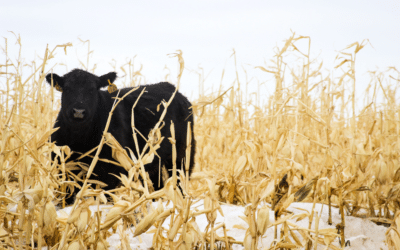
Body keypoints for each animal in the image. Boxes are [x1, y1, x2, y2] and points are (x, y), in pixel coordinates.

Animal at [47, 68, 195, 203]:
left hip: (182, 155)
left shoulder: (111, 170)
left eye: (92, 89)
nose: (79, 111)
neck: (80, 139)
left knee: (180, 180)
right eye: (67, 89)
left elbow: (105, 196)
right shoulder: (65, 166)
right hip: (154, 160)